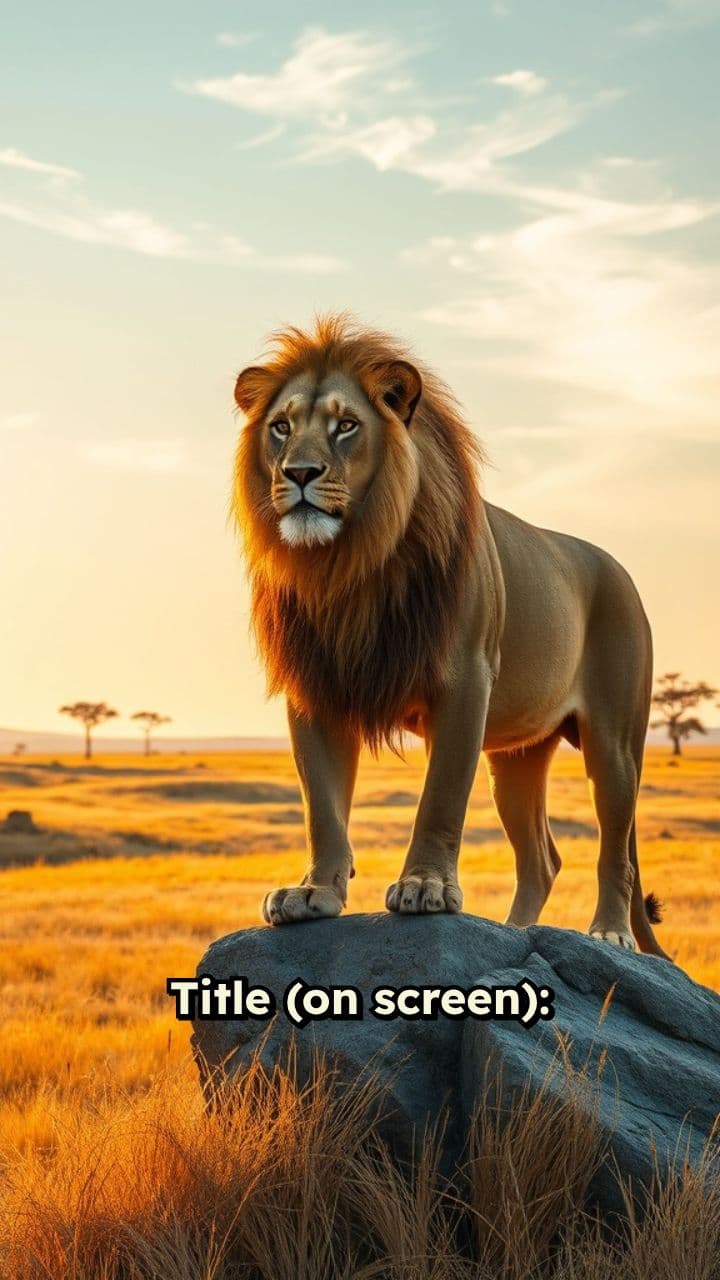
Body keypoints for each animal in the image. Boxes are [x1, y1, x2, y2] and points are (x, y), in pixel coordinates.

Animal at [232, 314, 668, 959]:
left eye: (346, 426)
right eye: (281, 427)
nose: (299, 475)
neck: (348, 565)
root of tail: (621, 571)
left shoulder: (465, 678)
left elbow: (440, 797)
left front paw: (425, 888)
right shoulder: (315, 687)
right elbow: (323, 807)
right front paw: (314, 894)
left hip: (614, 741)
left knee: (617, 849)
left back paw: (608, 933)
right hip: (515, 758)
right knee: (542, 859)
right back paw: (517, 934)